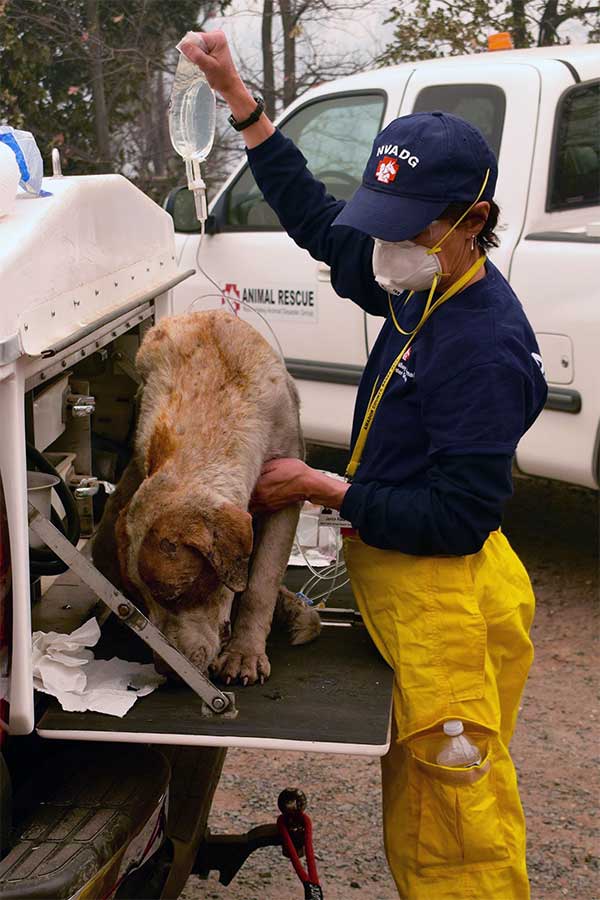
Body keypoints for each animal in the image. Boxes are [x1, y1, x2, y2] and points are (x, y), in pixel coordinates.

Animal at [92, 310, 318, 684]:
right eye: (141, 598)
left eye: (179, 594)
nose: (167, 671)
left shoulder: (287, 490)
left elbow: (260, 585)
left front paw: (244, 652)